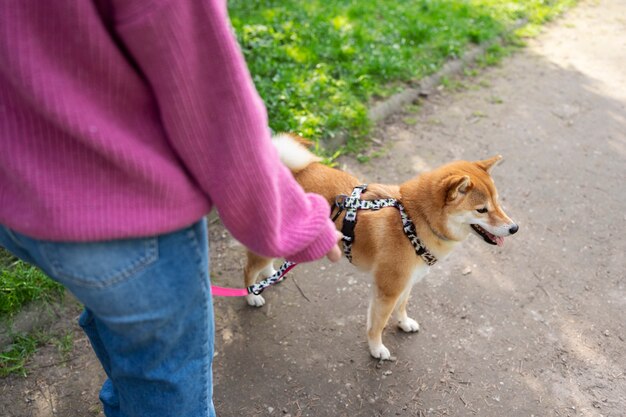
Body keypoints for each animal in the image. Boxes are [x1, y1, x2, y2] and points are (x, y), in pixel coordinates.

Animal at [241, 132, 516, 358]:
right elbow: (378, 324)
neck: (413, 221)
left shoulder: (406, 283)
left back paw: (271, 275)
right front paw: (376, 349)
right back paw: (252, 294)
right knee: (248, 270)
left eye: (498, 202)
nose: (514, 228)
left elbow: (402, 307)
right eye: (482, 210)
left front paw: (404, 323)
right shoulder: (387, 290)